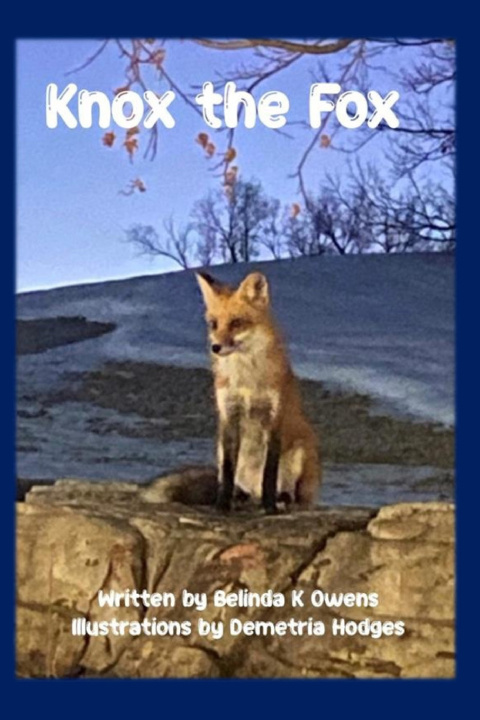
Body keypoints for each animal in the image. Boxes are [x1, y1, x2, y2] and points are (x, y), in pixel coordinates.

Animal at [196, 270, 320, 513]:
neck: (247, 381)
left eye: (236, 322)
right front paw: (222, 505)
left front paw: (269, 507)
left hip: (300, 452)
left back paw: (281, 500)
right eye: (213, 324)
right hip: (220, 451)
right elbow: (228, 471)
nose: (215, 347)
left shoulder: (273, 416)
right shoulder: (229, 414)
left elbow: (269, 472)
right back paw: (241, 497)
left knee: (289, 492)